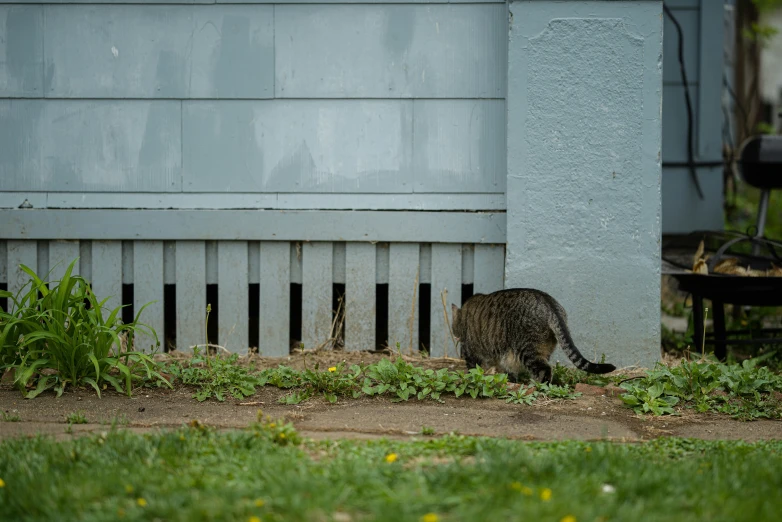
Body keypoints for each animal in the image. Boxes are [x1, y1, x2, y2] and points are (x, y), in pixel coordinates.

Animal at [454, 286, 620, 380]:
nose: (455, 335)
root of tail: (550, 305)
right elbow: (507, 371)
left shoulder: (471, 352)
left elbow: (473, 369)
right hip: (543, 348)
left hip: (527, 349)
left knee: (544, 370)